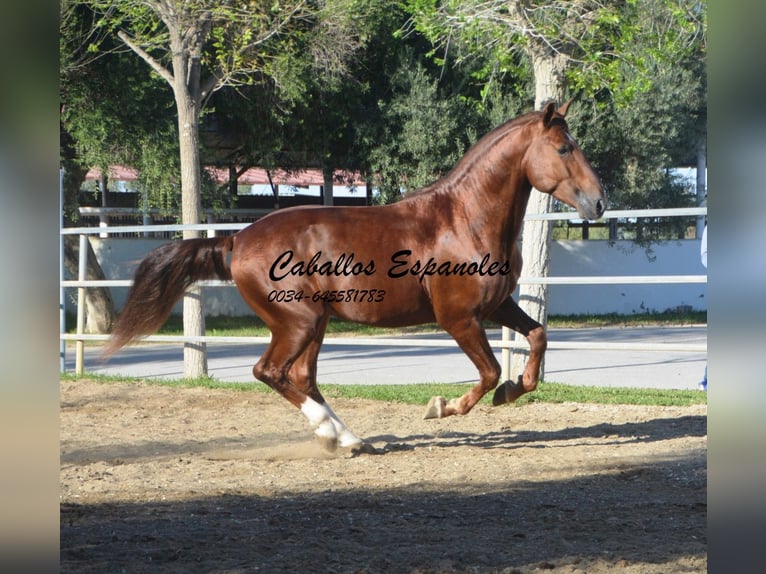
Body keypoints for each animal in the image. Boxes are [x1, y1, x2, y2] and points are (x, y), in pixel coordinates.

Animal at [105, 102, 608, 454]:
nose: (599, 203)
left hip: (315, 324)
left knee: (300, 376)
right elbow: (487, 372)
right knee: (270, 372)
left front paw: (512, 391)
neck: (465, 219)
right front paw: (443, 407)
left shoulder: (497, 305)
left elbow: (537, 337)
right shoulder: (459, 318)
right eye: (564, 149)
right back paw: (336, 436)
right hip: (299, 322)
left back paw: (347, 439)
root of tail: (238, 241)